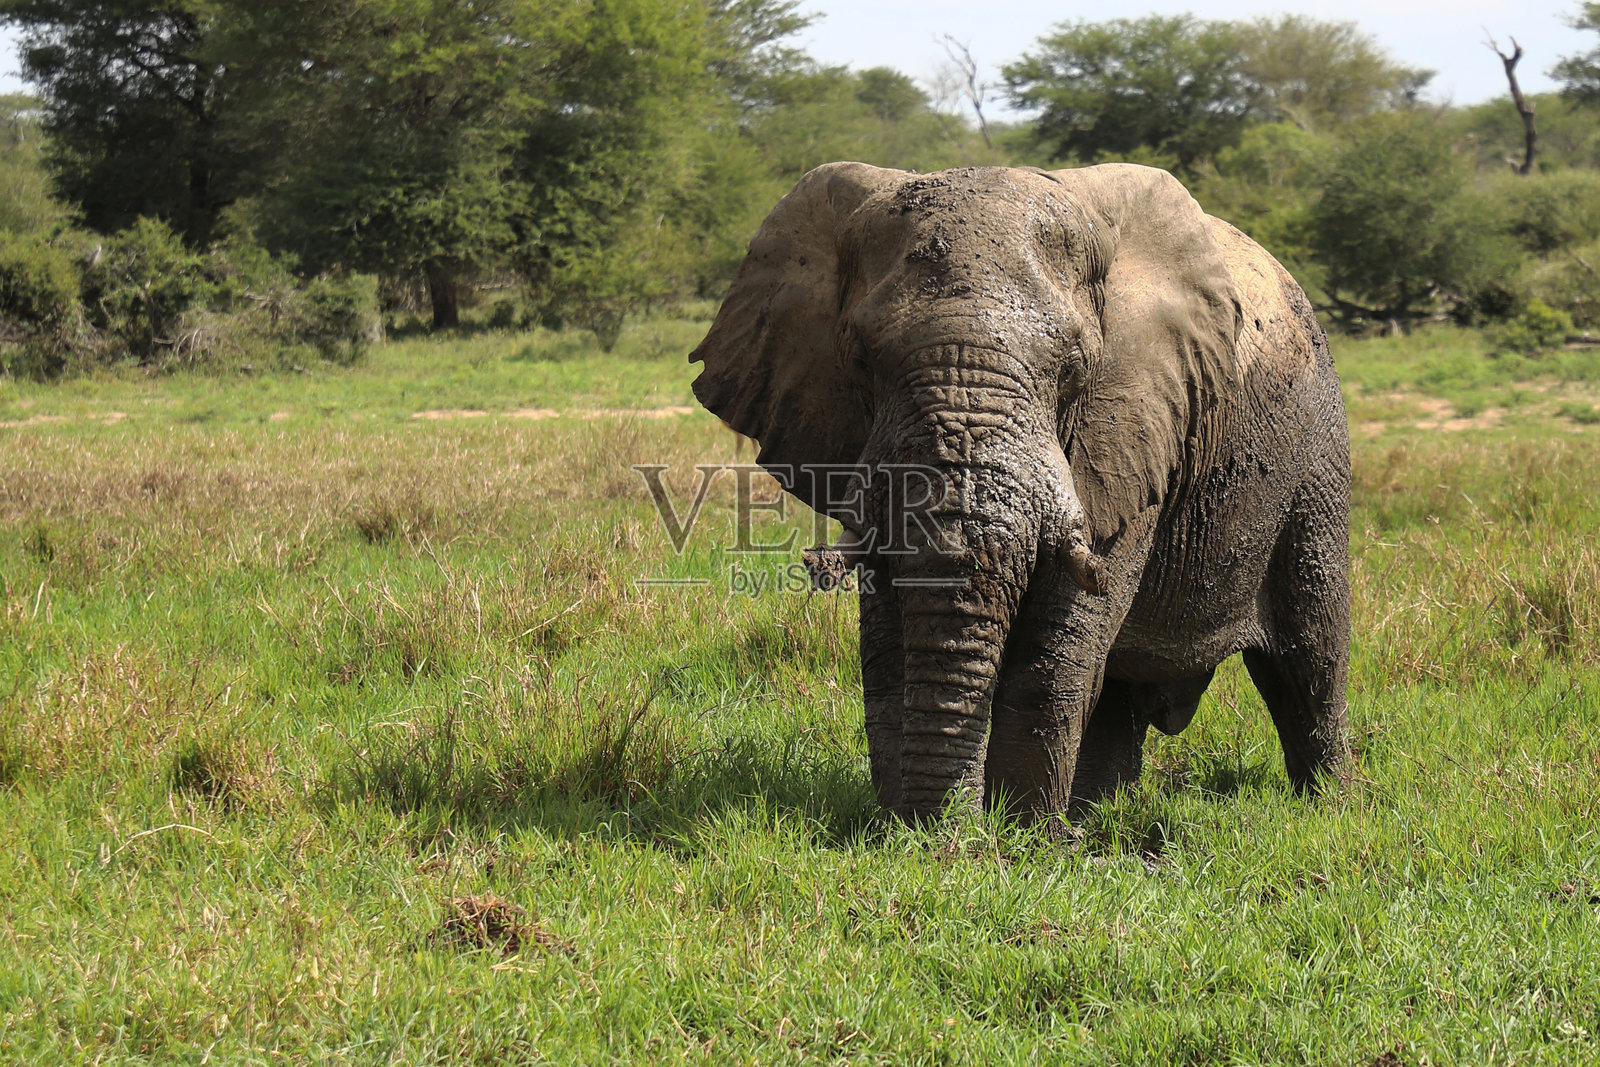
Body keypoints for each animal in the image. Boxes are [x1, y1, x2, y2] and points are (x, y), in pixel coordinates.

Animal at [689, 162, 1350, 824]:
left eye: (1074, 368)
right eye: (860, 360)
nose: (947, 832)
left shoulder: (1135, 430)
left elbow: (1056, 648)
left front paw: (1021, 835)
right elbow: (887, 647)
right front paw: (920, 830)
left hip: (1316, 457)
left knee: (1310, 655)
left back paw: (1328, 811)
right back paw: (1091, 823)